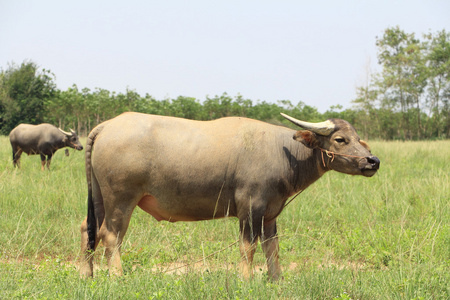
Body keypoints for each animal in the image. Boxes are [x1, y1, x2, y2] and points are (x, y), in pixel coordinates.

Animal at [78, 111, 380, 280]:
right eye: (340, 140)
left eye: (358, 138)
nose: (372, 161)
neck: (284, 152)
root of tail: (106, 127)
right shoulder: (250, 208)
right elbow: (248, 247)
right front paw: (246, 280)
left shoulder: (270, 214)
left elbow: (272, 248)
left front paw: (276, 280)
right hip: (121, 199)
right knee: (111, 235)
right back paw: (116, 276)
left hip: (99, 197)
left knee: (88, 229)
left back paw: (86, 275)